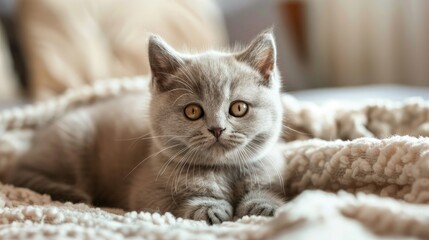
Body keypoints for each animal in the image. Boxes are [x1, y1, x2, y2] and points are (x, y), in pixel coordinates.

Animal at [5, 31, 286, 224]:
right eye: (193, 111)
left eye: (238, 108)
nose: (217, 129)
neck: (223, 171)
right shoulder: (146, 193)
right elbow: (172, 202)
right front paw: (209, 207)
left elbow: (269, 192)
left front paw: (262, 205)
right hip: (69, 144)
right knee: (22, 173)